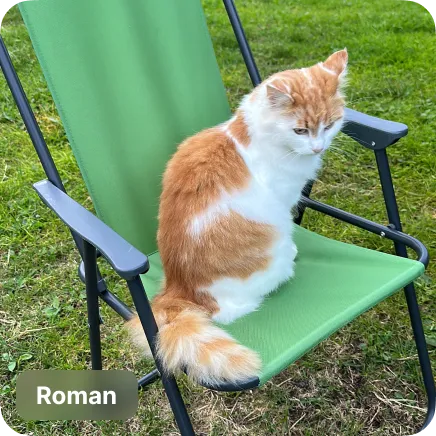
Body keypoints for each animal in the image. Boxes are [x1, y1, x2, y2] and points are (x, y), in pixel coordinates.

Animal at [127, 49, 350, 384]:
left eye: (330, 125)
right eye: (299, 130)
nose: (317, 147)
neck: (253, 135)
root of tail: (178, 290)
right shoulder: (284, 200)